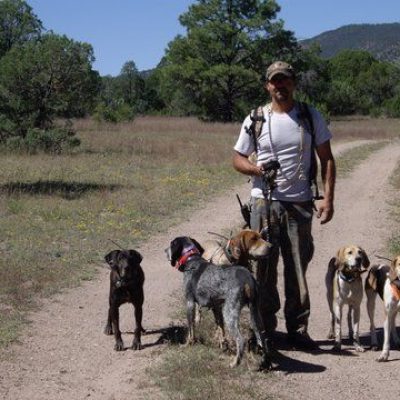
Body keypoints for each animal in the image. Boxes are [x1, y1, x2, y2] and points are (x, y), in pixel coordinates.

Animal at [166, 236, 272, 370]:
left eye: (171, 244)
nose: (165, 251)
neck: (192, 259)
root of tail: (247, 279)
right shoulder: (216, 307)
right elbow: (220, 328)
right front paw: (222, 345)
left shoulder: (189, 303)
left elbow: (191, 329)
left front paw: (187, 344)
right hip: (255, 313)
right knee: (262, 337)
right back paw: (266, 362)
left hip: (229, 312)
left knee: (240, 340)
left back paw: (235, 363)